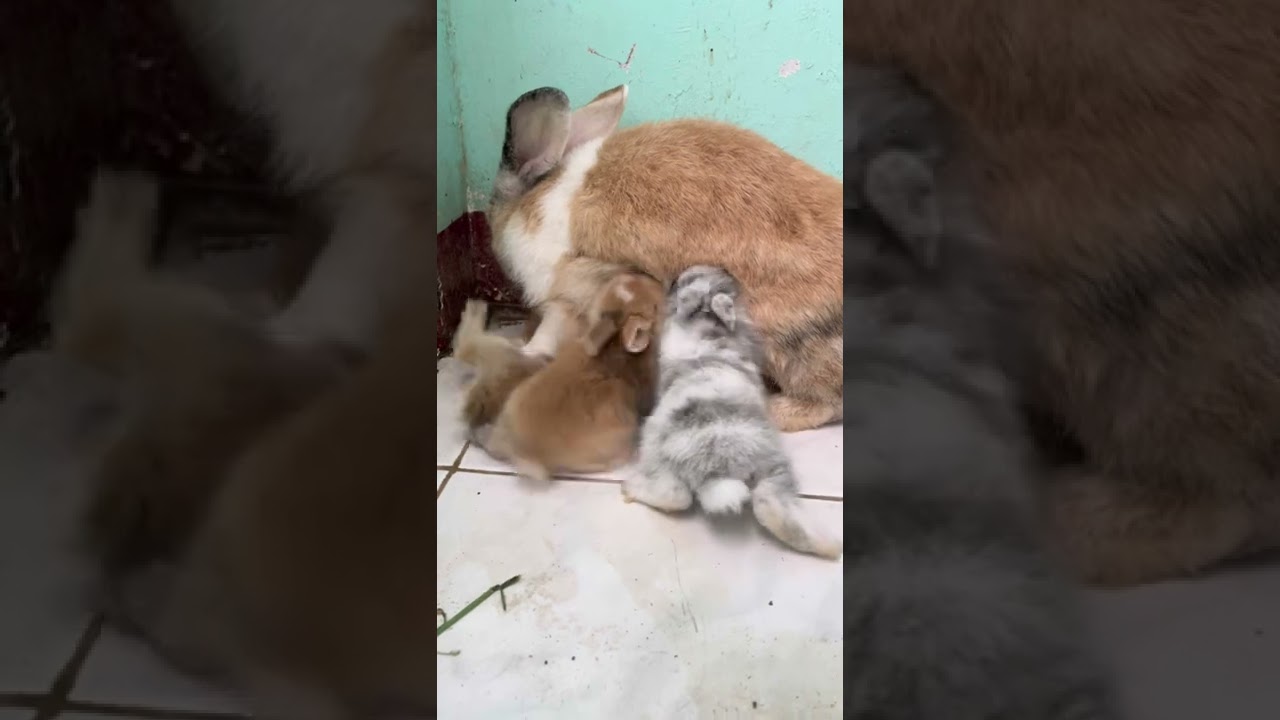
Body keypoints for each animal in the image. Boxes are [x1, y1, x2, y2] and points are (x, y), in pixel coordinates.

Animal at [486, 85, 843, 434]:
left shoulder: (573, 290)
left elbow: (551, 330)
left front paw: (525, 352)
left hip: (783, 345)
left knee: (825, 403)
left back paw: (774, 408)